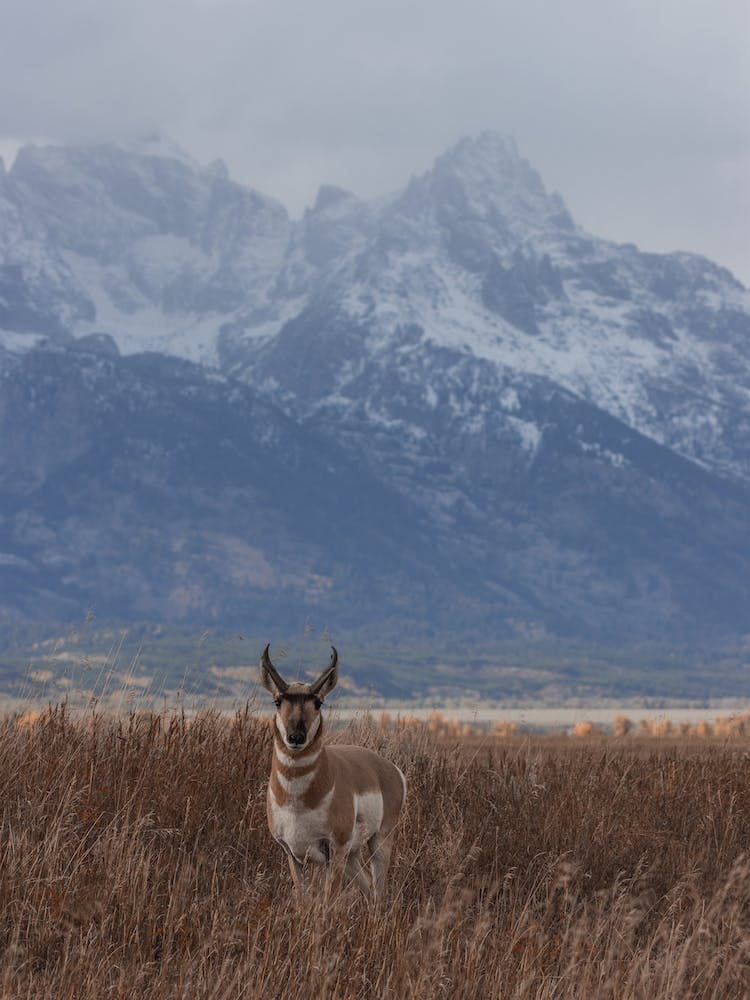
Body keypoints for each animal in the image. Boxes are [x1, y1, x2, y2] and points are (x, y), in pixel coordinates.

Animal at [260, 644, 406, 898]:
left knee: (379, 890)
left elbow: (328, 900)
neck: (298, 801)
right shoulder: (293, 855)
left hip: (379, 841)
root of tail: (390, 769)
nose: (295, 737)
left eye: (318, 702)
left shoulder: (335, 852)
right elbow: (303, 900)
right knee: (368, 887)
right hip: (352, 856)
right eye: (277, 701)